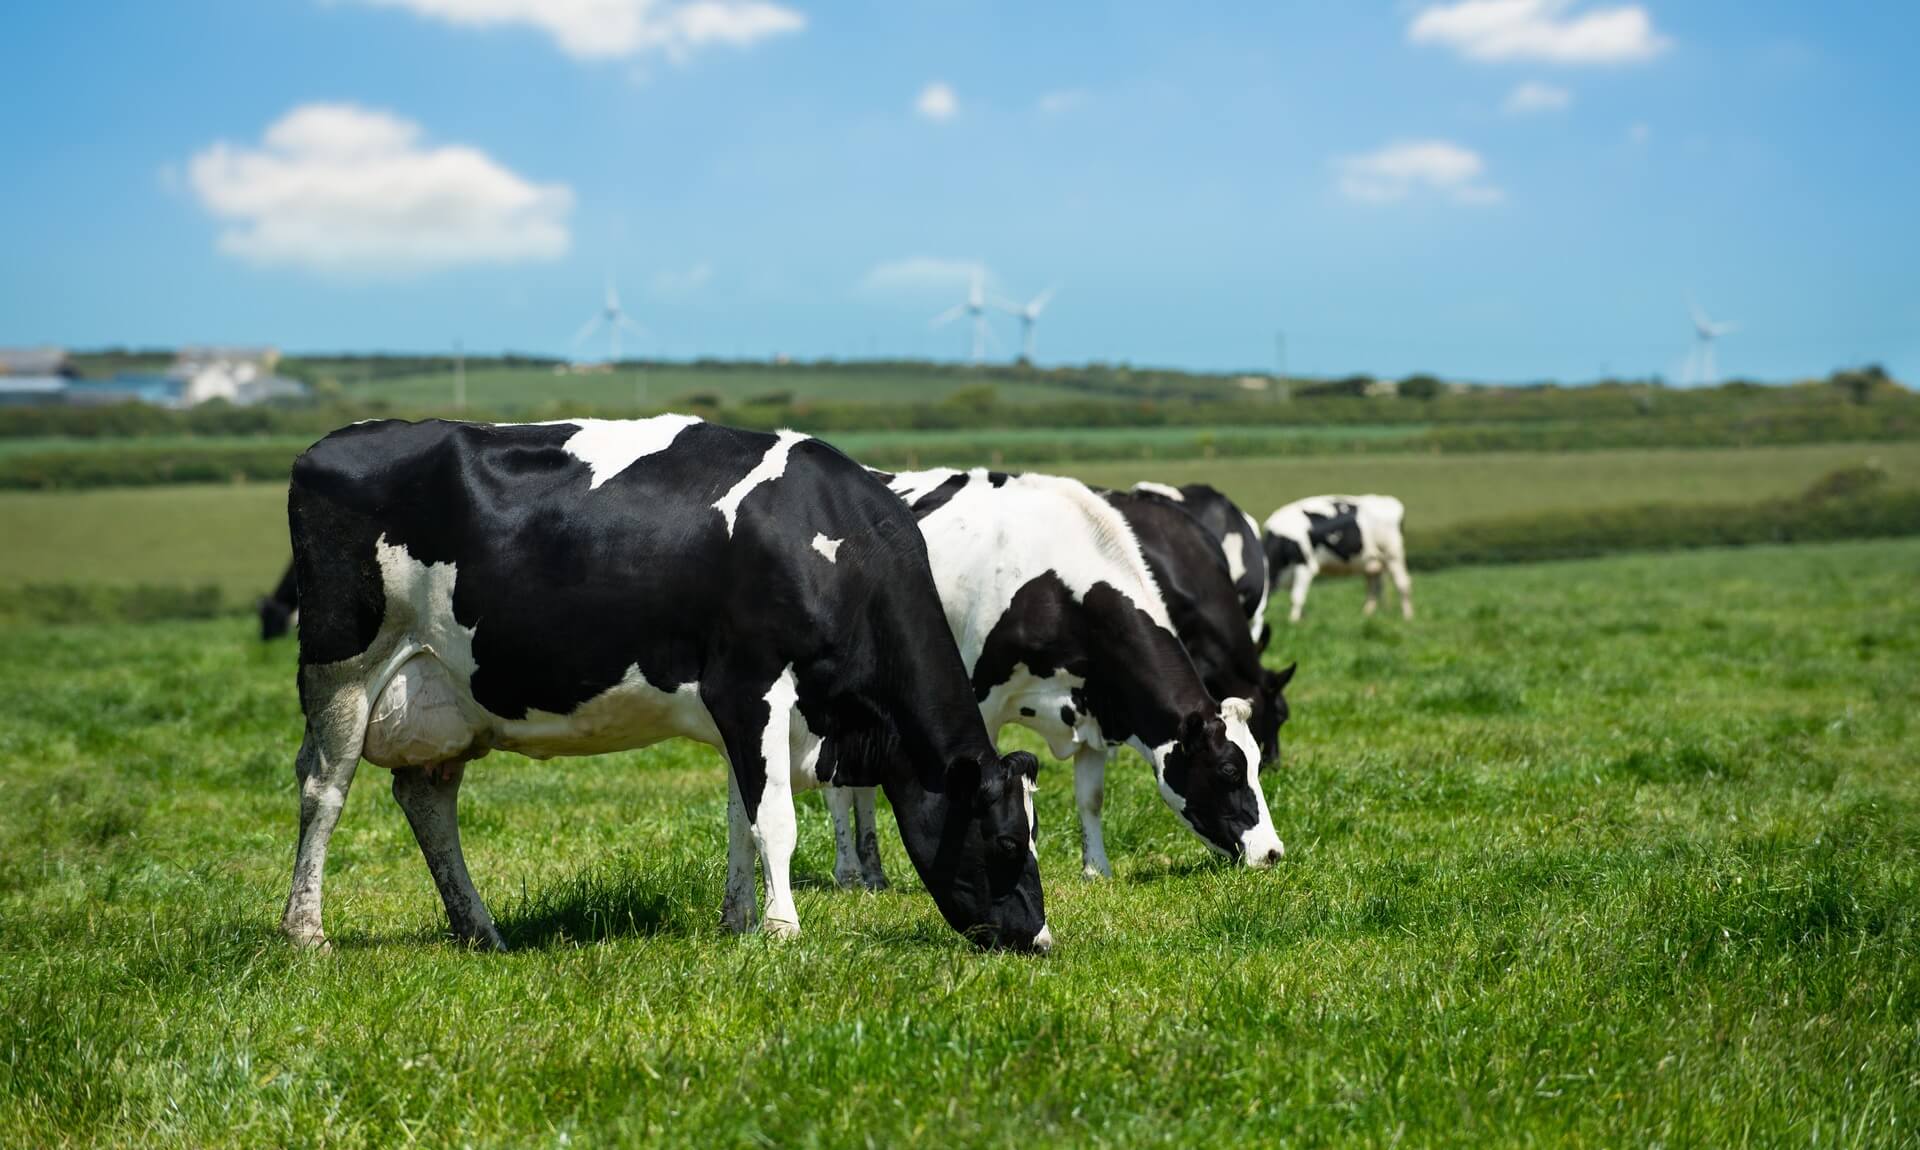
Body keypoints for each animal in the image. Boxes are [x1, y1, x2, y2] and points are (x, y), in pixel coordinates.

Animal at [281, 417, 1049, 953]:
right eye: (1007, 843)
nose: (1039, 940)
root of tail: (328, 445)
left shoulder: (749, 715)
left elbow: (743, 815)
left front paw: (741, 923)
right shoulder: (750, 686)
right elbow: (776, 820)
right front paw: (784, 930)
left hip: (444, 695)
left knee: (426, 799)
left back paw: (481, 932)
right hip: (342, 668)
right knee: (324, 787)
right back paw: (306, 934)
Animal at [1262, 495, 1413, 622]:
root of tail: (1389, 501)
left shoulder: (1305, 566)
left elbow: (1296, 597)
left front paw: (1293, 621)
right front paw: (1302, 619)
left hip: (1393, 555)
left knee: (1403, 584)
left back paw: (1407, 616)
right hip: (1372, 561)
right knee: (1373, 587)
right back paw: (1367, 615)